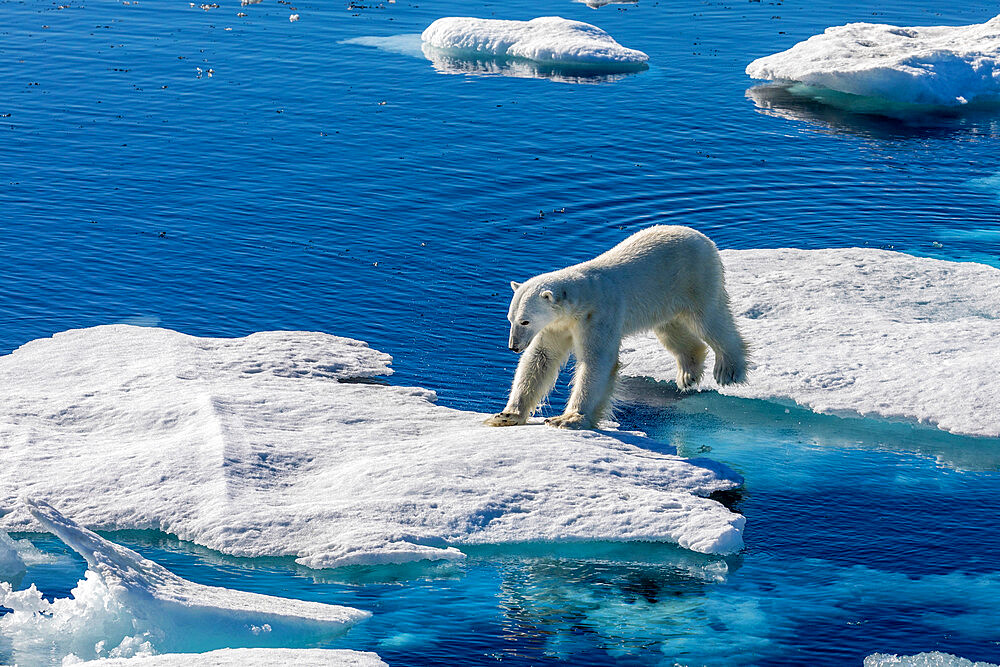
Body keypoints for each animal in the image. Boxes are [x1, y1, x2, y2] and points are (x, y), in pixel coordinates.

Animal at [484, 224, 752, 430]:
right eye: (510, 319)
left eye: (525, 321)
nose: (513, 346)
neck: (582, 298)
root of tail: (701, 236)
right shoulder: (557, 326)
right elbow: (541, 358)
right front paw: (507, 415)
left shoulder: (599, 315)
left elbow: (596, 361)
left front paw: (568, 419)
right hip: (663, 299)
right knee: (671, 330)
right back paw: (688, 374)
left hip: (694, 279)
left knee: (710, 320)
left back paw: (728, 370)